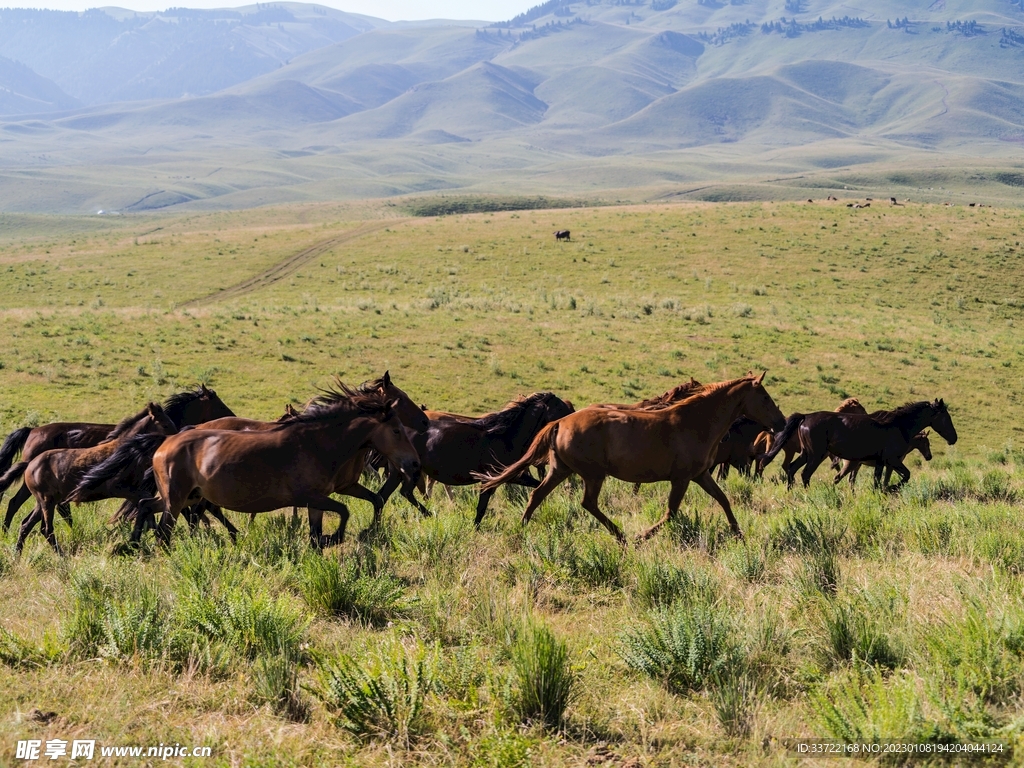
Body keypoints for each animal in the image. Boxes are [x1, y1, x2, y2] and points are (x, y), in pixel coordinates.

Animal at [11, 403, 179, 553]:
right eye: (165, 424)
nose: (174, 439)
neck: (125, 451)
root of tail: (30, 465)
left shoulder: (133, 490)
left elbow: (145, 502)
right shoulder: (121, 489)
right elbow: (144, 499)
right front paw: (154, 532)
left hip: (44, 502)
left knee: (26, 525)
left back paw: (17, 555)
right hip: (47, 501)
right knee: (46, 529)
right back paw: (61, 556)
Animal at [76, 373, 428, 547]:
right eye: (396, 429)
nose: (413, 464)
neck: (316, 442)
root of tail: (167, 441)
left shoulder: (321, 497)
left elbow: (324, 526)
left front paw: (327, 542)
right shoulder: (312, 496)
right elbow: (343, 512)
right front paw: (337, 538)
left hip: (182, 496)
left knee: (146, 507)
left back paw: (133, 545)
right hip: (177, 499)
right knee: (165, 528)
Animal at [376, 392, 575, 528]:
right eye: (561, 408)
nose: (571, 423)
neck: (505, 436)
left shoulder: (512, 476)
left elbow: (537, 486)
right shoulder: (489, 479)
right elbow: (481, 508)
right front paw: (475, 529)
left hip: (397, 473)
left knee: (385, 495)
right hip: (410, 471)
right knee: (405, 492)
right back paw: (429, 514)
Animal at [476, 374, 785, 543]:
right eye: (765, 397)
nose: (782, 422)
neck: (695, 422)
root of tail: (560, 422)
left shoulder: (700, 475)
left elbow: (723, 500)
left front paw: (739, 534)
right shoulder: (682, 478)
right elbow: (671, 513)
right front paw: (641, 537)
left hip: (561, 470)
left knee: (537, 495)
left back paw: (523, 528)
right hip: (592, 474)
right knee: (587, 503)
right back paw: (622, 536)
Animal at [762, 400, 956, 489]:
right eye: (945, 417)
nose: (954, 438)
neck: (899, 425)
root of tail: (805, 417)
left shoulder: (881, 462)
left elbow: (878, 482)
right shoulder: (892, 460)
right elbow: (905, 476)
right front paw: (892, 489)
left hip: (806, 453)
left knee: (792, 469)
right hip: (816, 455)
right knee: (805, 474)